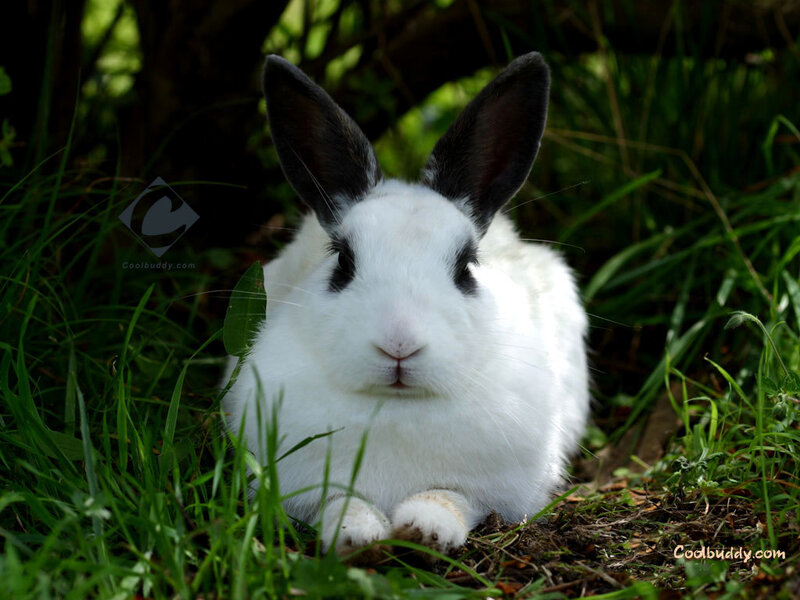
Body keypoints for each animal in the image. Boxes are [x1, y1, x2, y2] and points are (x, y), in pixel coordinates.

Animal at [222, 51, 590, 560]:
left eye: (466, 267)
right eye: (344, 261)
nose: (399, 344)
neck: (396, 407)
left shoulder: (491, 490)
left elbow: (450, 497)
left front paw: (424, 530)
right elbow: (339, 502)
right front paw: (357, 535)